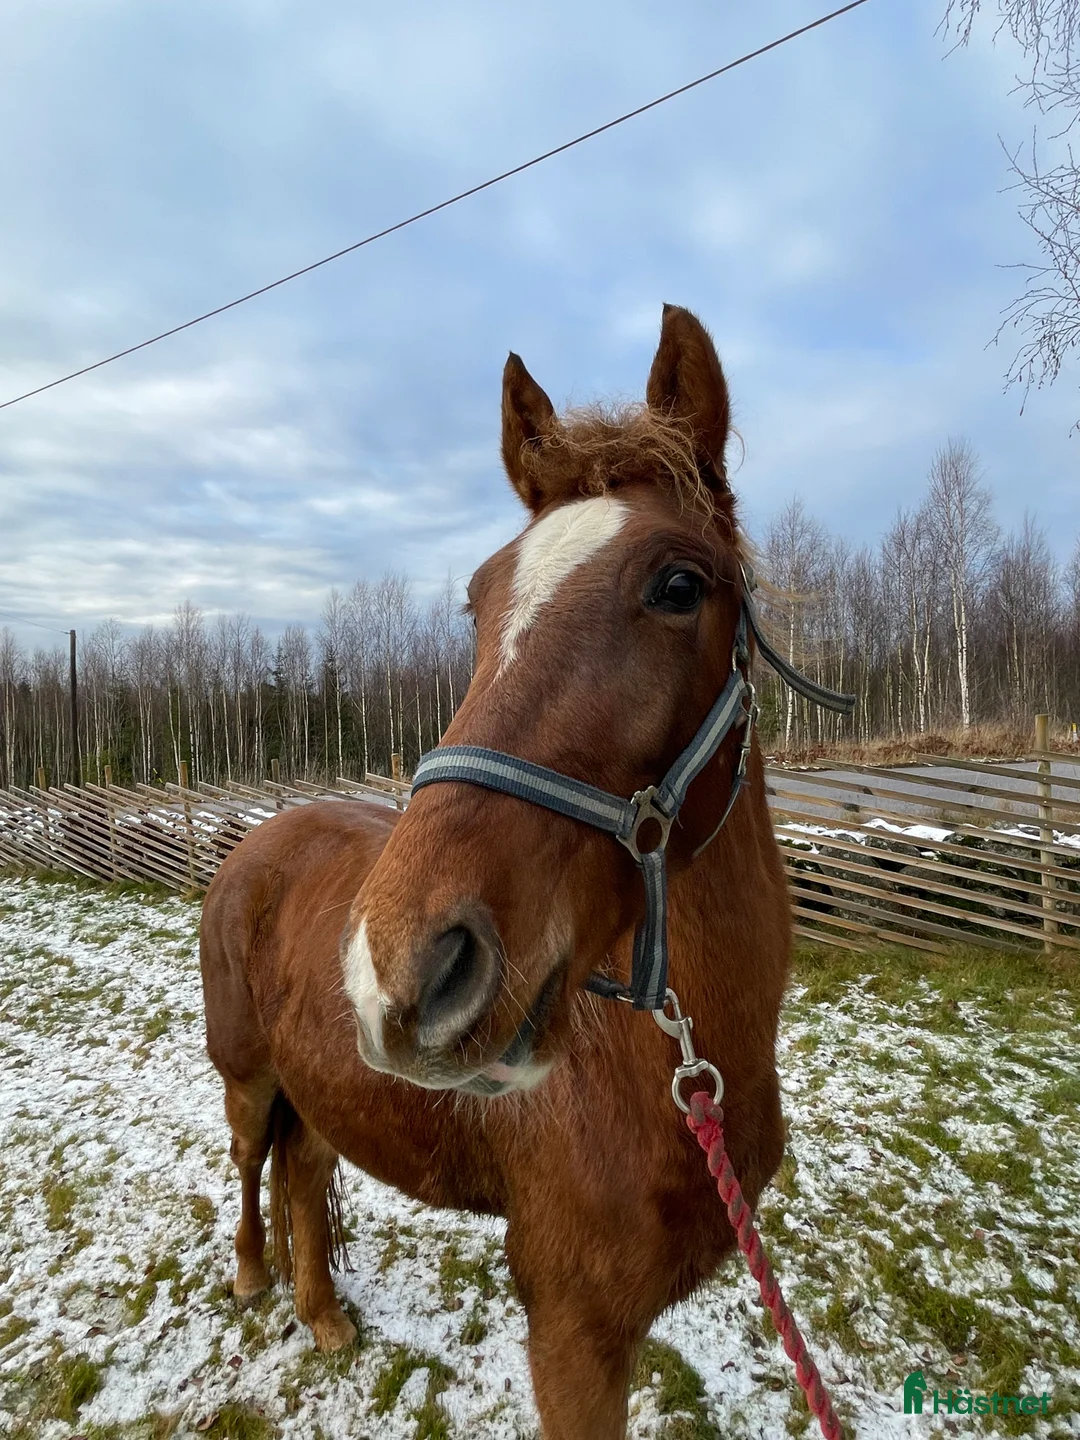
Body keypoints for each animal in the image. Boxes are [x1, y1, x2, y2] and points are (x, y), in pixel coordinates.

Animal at [200, 305, 793, 1440]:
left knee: (301, 1172)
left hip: (321, 1093)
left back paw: (322, 1314)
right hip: (246, 1073)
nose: (399, 975)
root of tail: (253, 841)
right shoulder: (572, 1335)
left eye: (678, 586)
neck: (676, 1070)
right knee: (252, 1163)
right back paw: (256, 1279)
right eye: (478, 603)